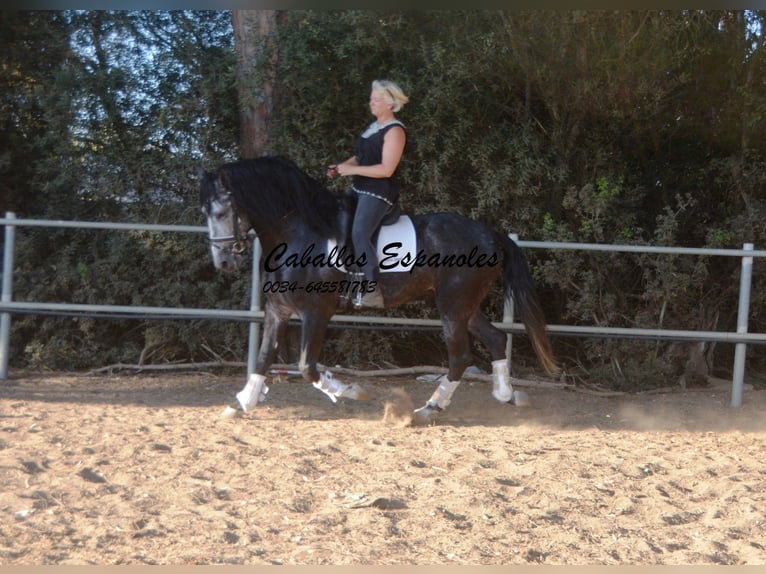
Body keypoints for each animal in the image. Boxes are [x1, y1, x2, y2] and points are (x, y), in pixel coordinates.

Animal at [198, 155, 560, 426]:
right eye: (205, 213)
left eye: (221, 212)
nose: (224, 262)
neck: (299, 232)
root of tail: (491, 234)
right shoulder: (278, 309)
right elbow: (262, 358)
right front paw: (241, 403)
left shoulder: (316, 312)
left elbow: (305, 366)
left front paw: (351, 390)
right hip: (465, 306)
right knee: (496, 339)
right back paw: (506, 395)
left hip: (453, 306)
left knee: (460, 356)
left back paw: (429, 409)